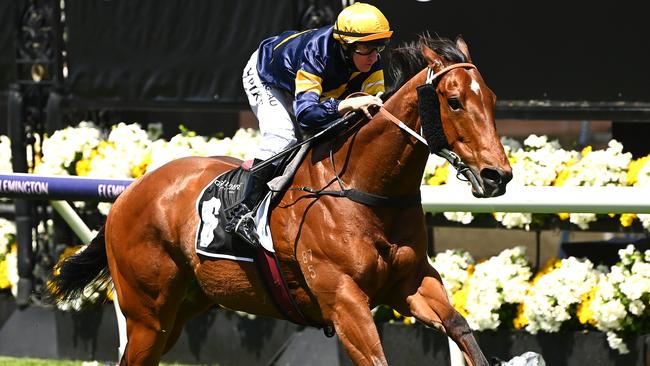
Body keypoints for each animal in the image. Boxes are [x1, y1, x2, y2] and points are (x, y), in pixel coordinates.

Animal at [48, 35, 512, 366]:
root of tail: (128, 194)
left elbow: (460, 327)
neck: (365, 191)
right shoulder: (344, 301)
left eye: (491, 99)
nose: (498, 176)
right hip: (147, 313)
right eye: (454, 101)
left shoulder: (410, 282)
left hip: (183, 305)